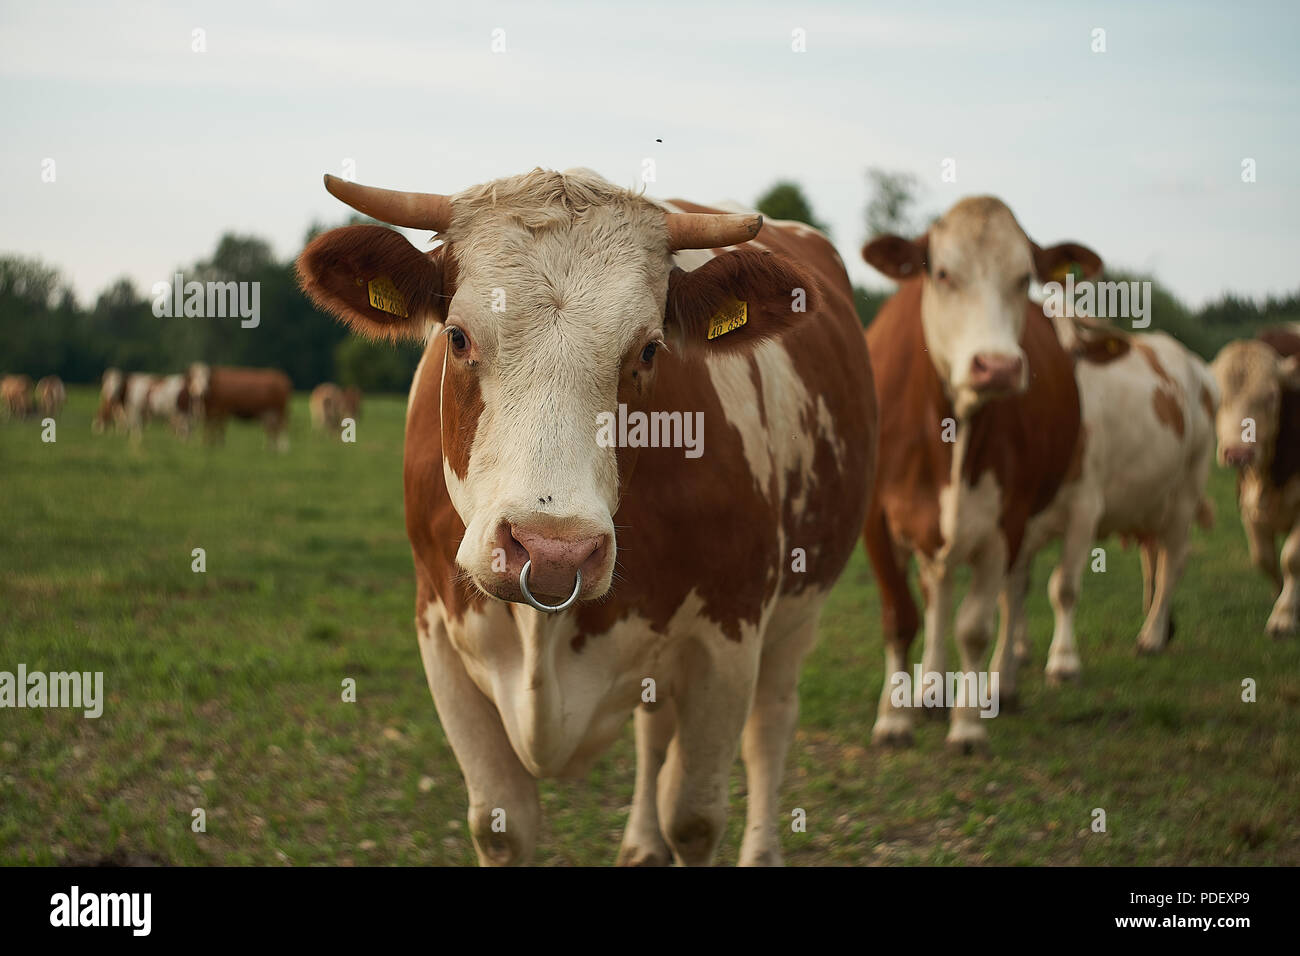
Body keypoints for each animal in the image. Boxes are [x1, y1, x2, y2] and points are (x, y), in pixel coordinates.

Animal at [296, 167, 877, 866]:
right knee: (656, 731)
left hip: (795, 618)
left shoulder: (727, 642)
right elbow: (503, 823)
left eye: (649, 350)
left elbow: (695, 818)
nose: (552, 552)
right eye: (457, 337)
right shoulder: (439, 635)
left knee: (768, 730)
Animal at [860, 196, 1099, 753]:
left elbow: (975, 626)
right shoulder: (877, 517)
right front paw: (894, 718)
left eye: (1023, 277)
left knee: (1013, 593)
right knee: (938, 591)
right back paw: (927, 691)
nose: (997, 366)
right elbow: (901, 617)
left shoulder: (1006, 522)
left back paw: (999, 688)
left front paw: (967, 726)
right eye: (943, 272)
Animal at [1009, 317, 1218, 684]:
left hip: (1187, 488)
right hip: (1148, 497)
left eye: (1076, 352)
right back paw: (1161, 628)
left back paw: (1152, 636)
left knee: (1172, 563)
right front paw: (1019, 650)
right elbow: (1018, 583)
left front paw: (1063, 661)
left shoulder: (1084, 508)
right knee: (1153, 556)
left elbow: (1063, 587)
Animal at [1210, 327, 1300, 637]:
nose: (1238, 453)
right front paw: (1281, 595)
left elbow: (1291, 558)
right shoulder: (1247, 504)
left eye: (1271, 396)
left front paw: (1284, 616)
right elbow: (1263, 557)